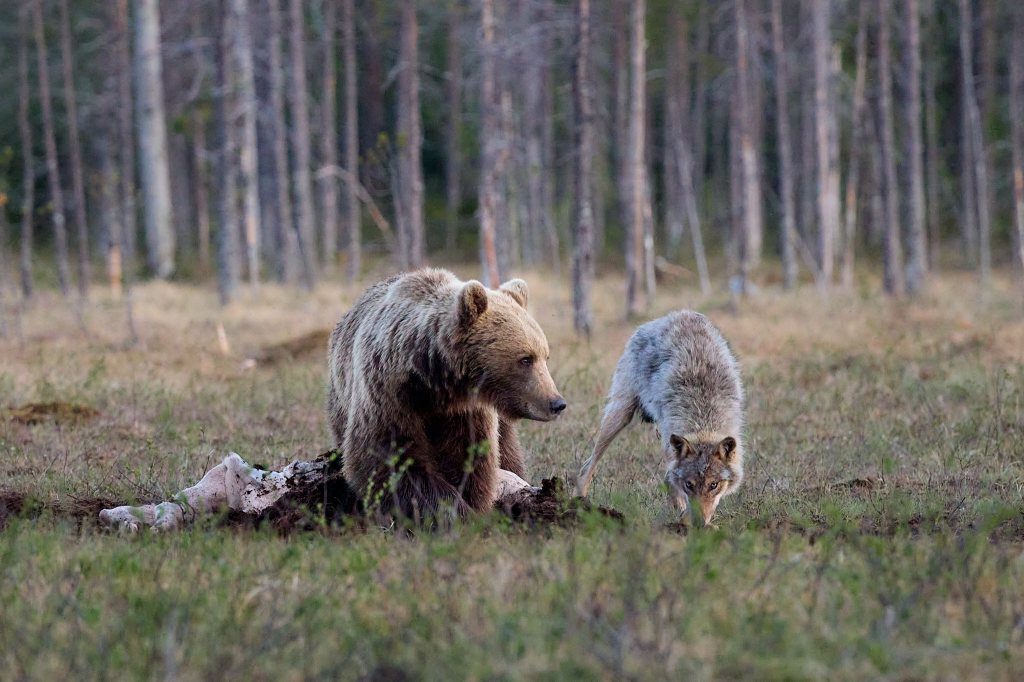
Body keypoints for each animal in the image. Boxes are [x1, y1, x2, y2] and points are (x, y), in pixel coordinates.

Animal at [326, 268, 566, 521]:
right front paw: (448, 509)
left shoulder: (466, 410)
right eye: (526, 359)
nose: (557, 403)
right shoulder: (388, 395)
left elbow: (467, 457)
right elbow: (393, 459)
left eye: (545, 356)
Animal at [575, 311, 744, 526]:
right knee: (586, 468)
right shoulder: (669, 440)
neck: (703, 418)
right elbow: (673, 485)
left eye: (713, 485)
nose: (699, 523)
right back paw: (578, 504)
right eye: (689, 484)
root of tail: (670, 316)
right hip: (621, 414)